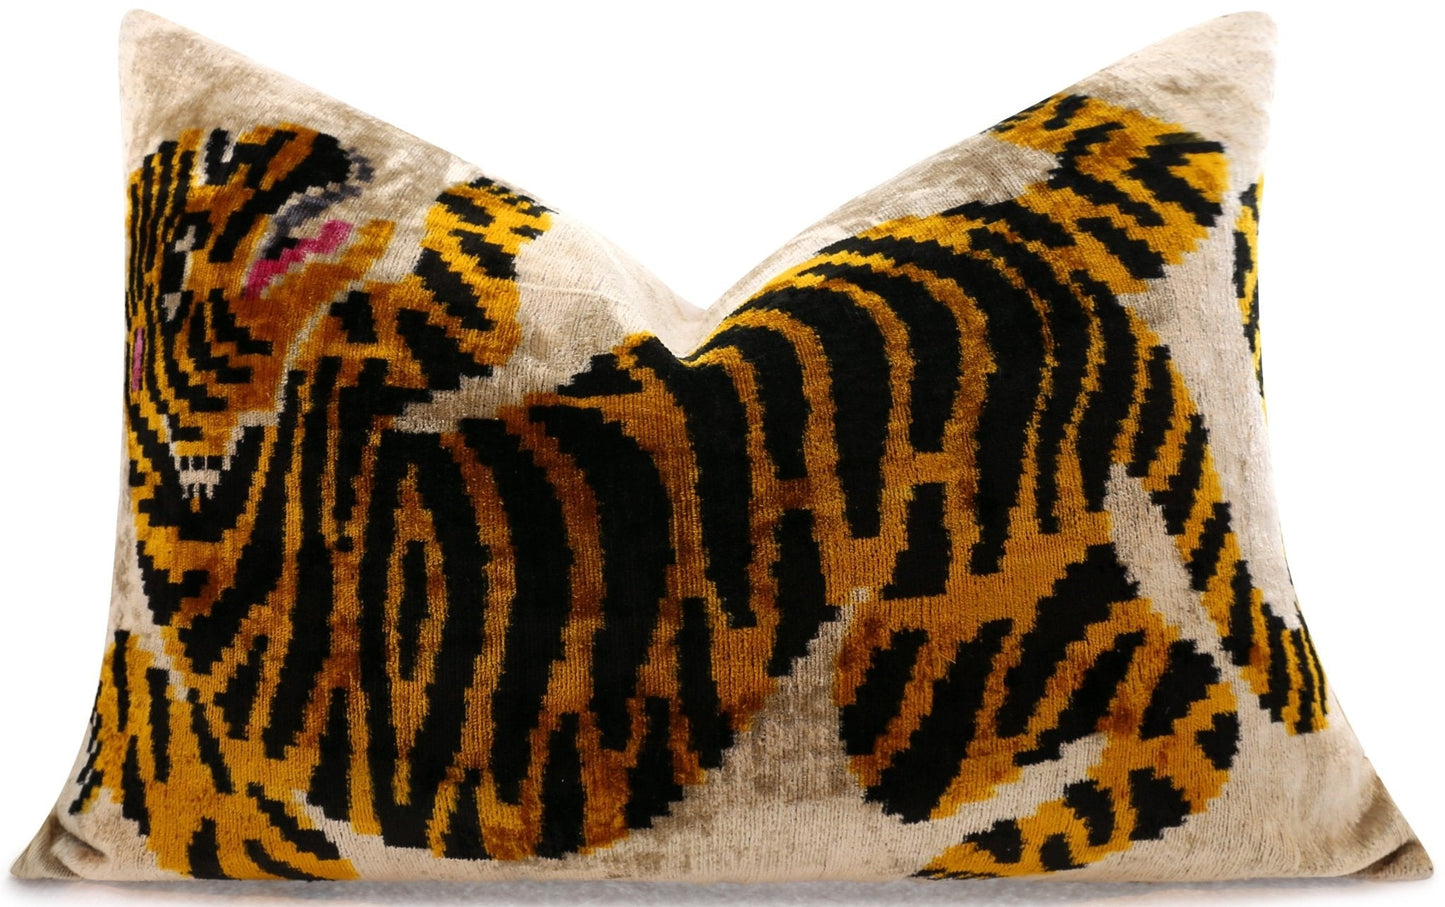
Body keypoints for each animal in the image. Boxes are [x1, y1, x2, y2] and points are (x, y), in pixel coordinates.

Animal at [66, 92, 1326, 880]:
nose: (309, 150)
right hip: (943, 648)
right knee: (1184, 706)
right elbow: (458, 273)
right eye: (220, 162)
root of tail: (1081, 304)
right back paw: (994, 842)